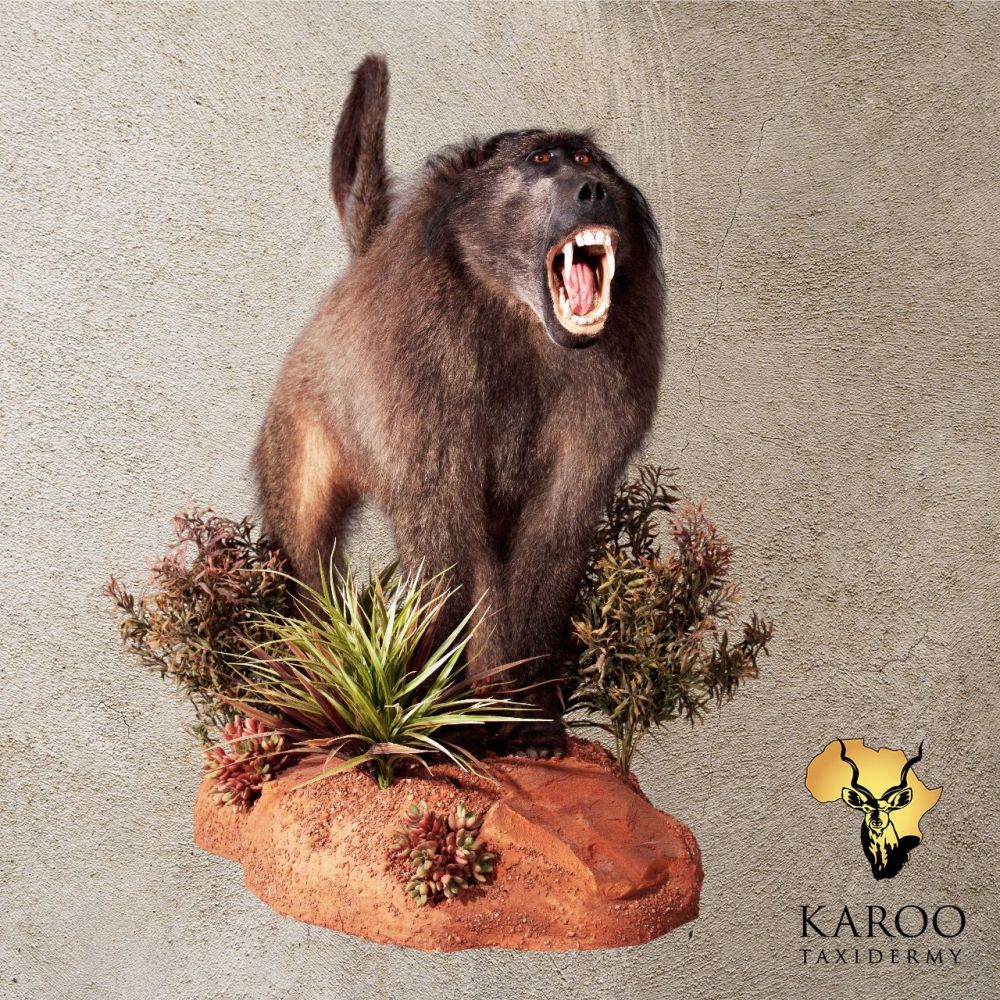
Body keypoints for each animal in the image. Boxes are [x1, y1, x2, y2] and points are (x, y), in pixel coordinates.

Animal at [253, 55, 663, 757]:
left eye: (588, 159)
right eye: (543, 159)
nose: (593, 190)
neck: (516, 323)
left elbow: (549, 547)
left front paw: (531, 725)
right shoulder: (429, 415)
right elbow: (441, 553)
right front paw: (425, 726)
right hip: (298, 435)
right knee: (312, 566)